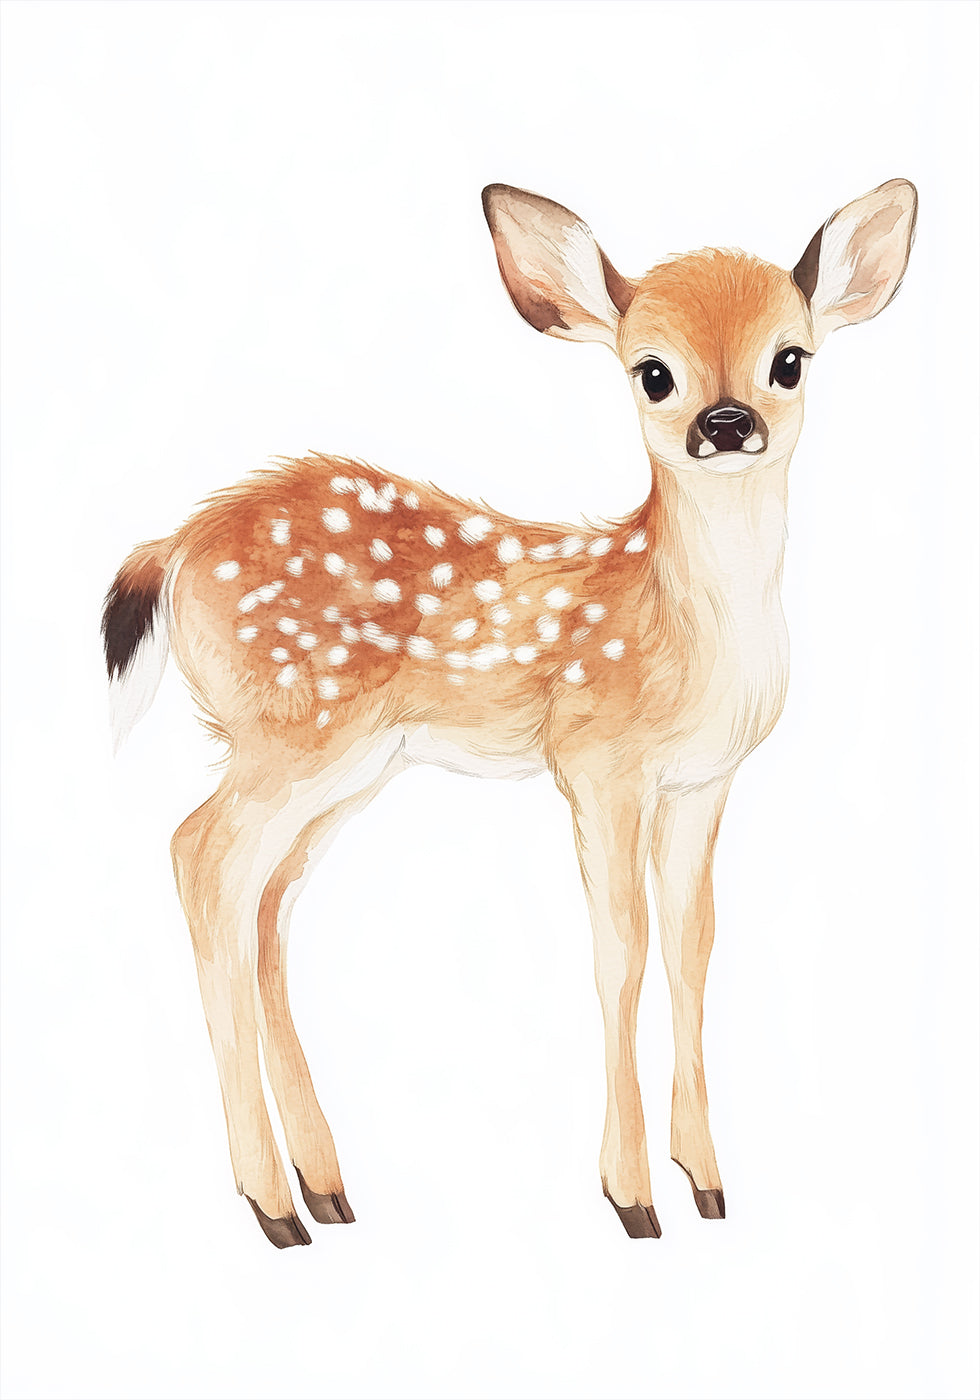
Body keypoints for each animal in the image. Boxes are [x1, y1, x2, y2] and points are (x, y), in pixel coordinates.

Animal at [103, 179, 916, 1247]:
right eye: (652, 373)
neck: (683, 631)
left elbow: (693, 947)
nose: (728, 420)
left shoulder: (703, 781)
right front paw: (631, 1197)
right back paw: (273, 1205)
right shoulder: (597, 762)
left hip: (348, 767)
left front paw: (707, 1182)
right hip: (292, 729)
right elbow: (621, 951)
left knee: (265, 904)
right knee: (200, 856)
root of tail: (174, 545)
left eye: (791, 358)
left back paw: (326, 1188)